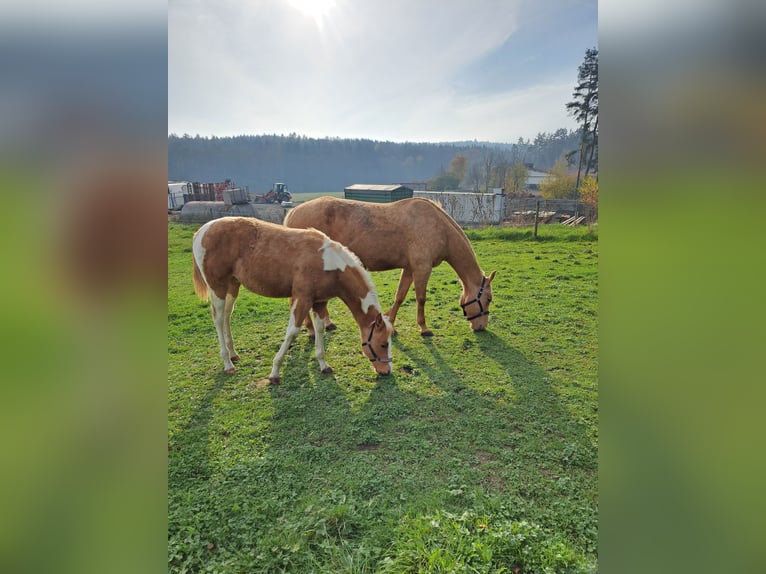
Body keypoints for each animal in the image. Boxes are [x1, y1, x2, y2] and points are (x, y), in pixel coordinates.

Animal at [192, 218, 396, 384]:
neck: (328, 263)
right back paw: (227, 363)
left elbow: (320, 329)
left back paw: (233, 354)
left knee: (227, 314)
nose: (386, 372)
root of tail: (201, 231)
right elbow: (292, 332)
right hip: (217, 287)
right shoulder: (302, 298)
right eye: (383, 344)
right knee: (218, 318)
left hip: (233, 285)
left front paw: (323, 365)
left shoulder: (319, 302)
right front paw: (274, 373)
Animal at [286, 197, 498, 338]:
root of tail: (293, 212)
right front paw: (424, 328)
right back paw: (311, 329)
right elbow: (421, 298)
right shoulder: (422, 268)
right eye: (488, 299)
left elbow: (400, 296)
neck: (438, 227)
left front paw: (392, 324)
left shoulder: (410, 269)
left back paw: (327, 324)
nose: (481, 327)